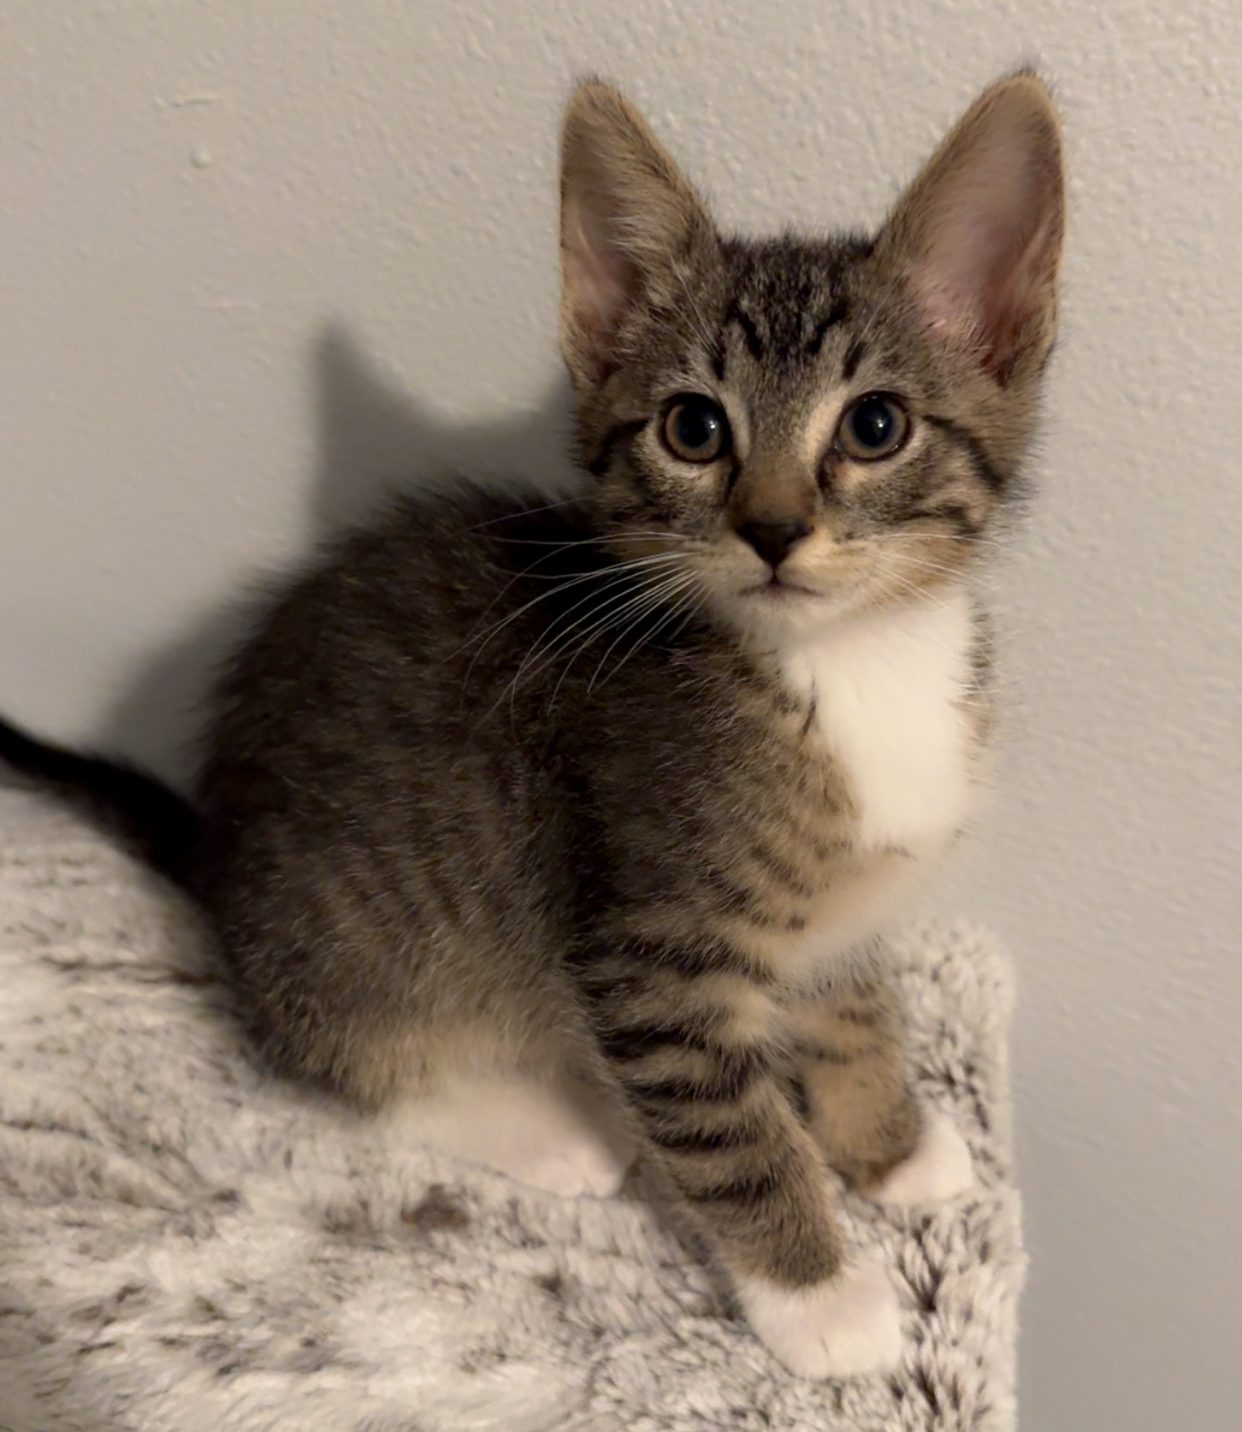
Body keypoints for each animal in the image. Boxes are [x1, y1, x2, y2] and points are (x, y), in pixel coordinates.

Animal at [0, 72, 1063, 1378]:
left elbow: (856, 1013)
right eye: (694, 429)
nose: (771, 530)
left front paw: (894, 1142)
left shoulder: (857, 905)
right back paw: (542, 1126)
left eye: (874, 428)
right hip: (361, 933)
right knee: (335, 1056)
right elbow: (734, 1135)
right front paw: (822, 1295)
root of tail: (214, 844)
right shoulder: (649, 952)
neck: (849, 667)